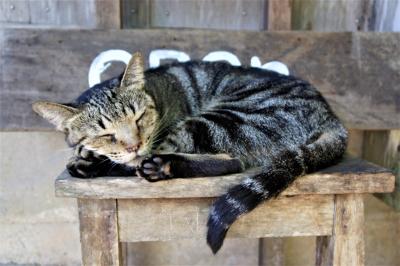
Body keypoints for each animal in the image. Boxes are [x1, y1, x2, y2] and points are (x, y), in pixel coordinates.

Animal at [33, 52, 346, 254]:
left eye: (138, 118)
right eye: (106, 134)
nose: (134, 145)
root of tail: (330, 116)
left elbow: (123, 160)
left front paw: (92, 161)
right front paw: (90, 153)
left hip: (224, 118)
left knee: (229, 161)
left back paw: (155, 166)